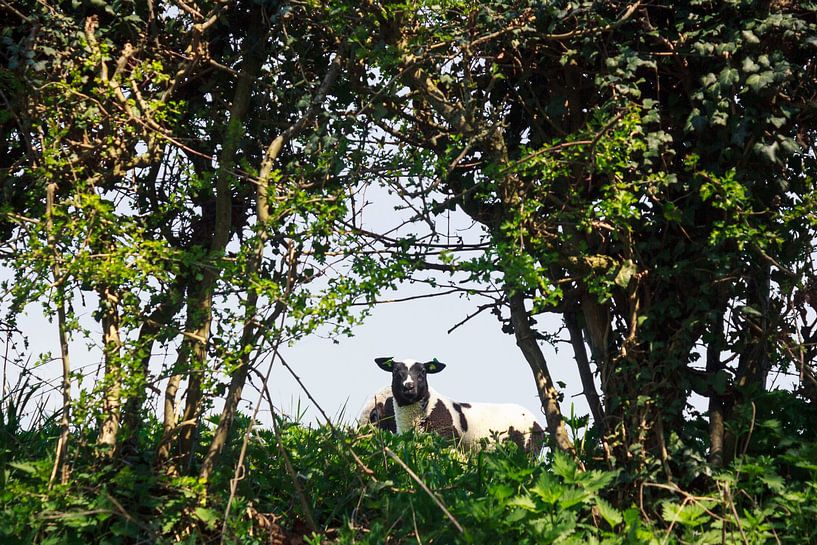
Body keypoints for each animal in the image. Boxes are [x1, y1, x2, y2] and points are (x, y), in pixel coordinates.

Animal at [361, 356, 544, 453]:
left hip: (528, 451)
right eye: (395, 373)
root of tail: (538, 423)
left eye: (423, 372)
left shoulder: (447, 440)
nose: (408, 386)